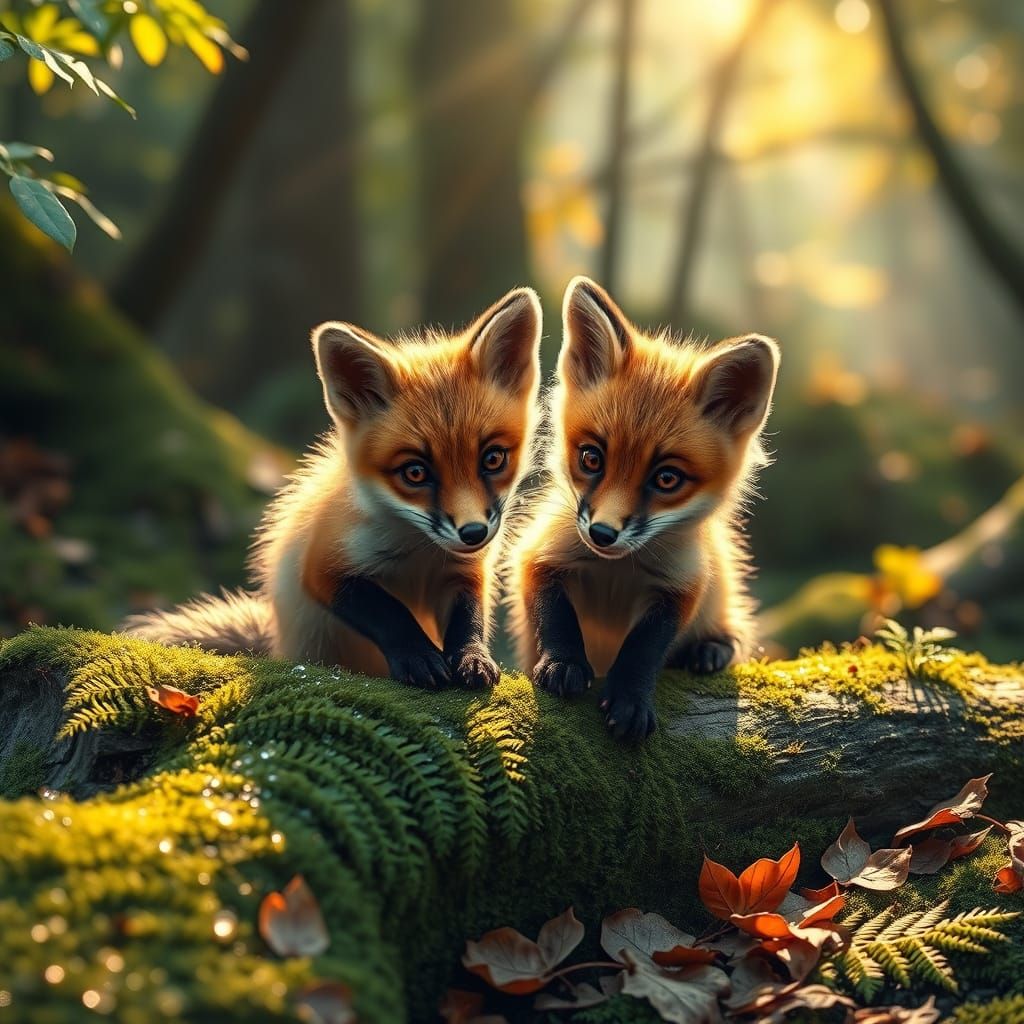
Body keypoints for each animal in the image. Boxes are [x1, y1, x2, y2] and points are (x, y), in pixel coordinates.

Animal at [125, 287, 543, 689]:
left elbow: (469, 623)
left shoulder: (466, 573)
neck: (419, 555)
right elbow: (391, 614)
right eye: (415, 473)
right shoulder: (323, 568)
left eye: (493, 459)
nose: (474, 533)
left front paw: (473, 659)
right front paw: (418, 657)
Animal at [506, 276, 780, 741]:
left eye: (667, 479)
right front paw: (563, 664)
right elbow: (555, 617)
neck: (616, 572)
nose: (602, 534)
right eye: (591, 458)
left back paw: (711, 649)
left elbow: (644, 649)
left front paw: (631, 700)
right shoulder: (539, 555)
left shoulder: (681, 586)